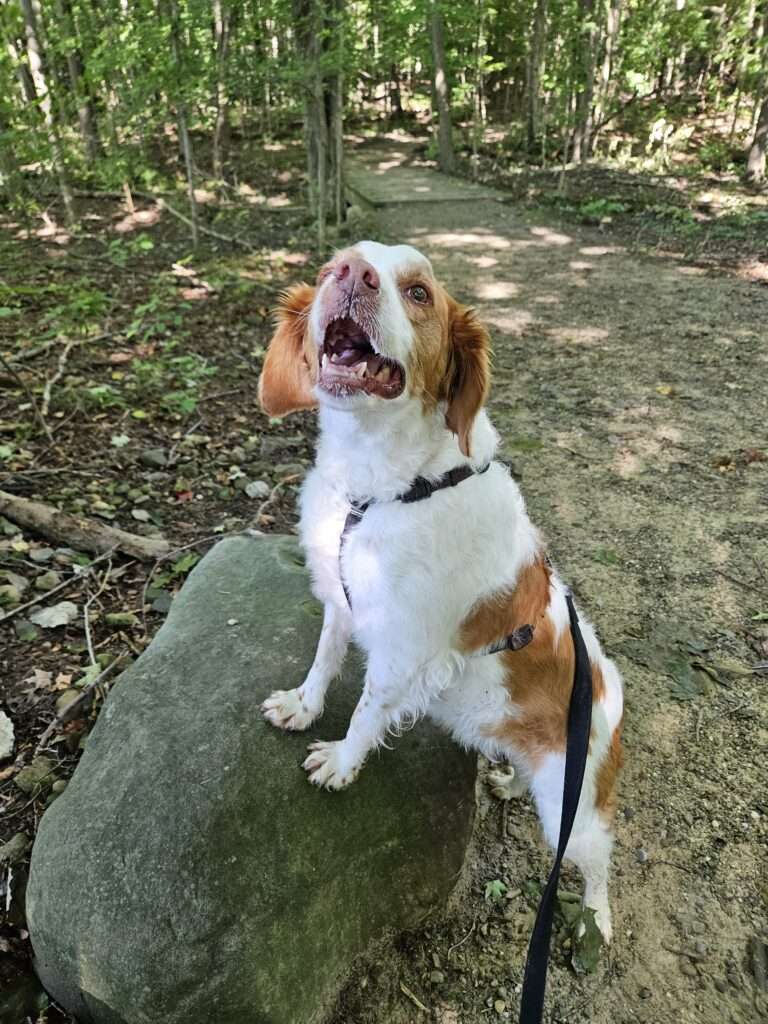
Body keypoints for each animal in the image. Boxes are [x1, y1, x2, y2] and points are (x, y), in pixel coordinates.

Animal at [259, 237, 626, 937]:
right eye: (328, 269)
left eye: (419, 292)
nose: (352, 275)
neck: (382, 488)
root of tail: (612, 698)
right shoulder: (342, 603)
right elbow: (323, 660)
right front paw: (302, 705)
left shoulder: (403, 649)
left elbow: (367, 710)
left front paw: (341, 762)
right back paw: (506, 781)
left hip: (574, 809)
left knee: (597, 864)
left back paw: (595, 920)